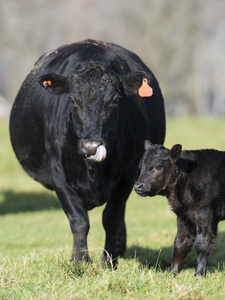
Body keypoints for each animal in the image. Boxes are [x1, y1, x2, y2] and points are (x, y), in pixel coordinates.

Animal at [9, 38, 165, 266]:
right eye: (72, 101)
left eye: (114, 101)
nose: (91, 146)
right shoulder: (58, 175)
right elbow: (79, 220)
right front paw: (80, 261)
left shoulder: (129, 173)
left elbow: (111, 217)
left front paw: (108, 262)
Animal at [134, 141, 225, 276]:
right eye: (140, 166)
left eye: (159, 166)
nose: (138, 186)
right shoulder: (184, 216)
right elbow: (180, 243)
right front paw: (172, 272)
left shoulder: (206, 214)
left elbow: (202, 243)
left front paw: (199, 274)